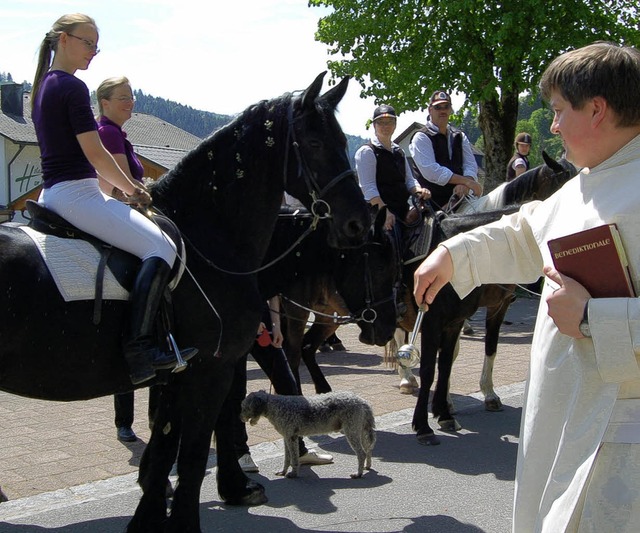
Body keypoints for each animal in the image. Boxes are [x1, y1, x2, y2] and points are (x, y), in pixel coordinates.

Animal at [240, 386, 376, 478]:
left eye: (244, 407)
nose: (239, 418)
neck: (274, 406)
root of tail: (362, 401)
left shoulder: (291, 437)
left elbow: (294, 459)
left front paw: (293, 474)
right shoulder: (287, 437)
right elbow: (287, 458)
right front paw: (283, 471)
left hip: (351, 431)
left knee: (362, 453)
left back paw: (358, 473)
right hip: (360, 431)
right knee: (368, 450)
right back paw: (367, 466)